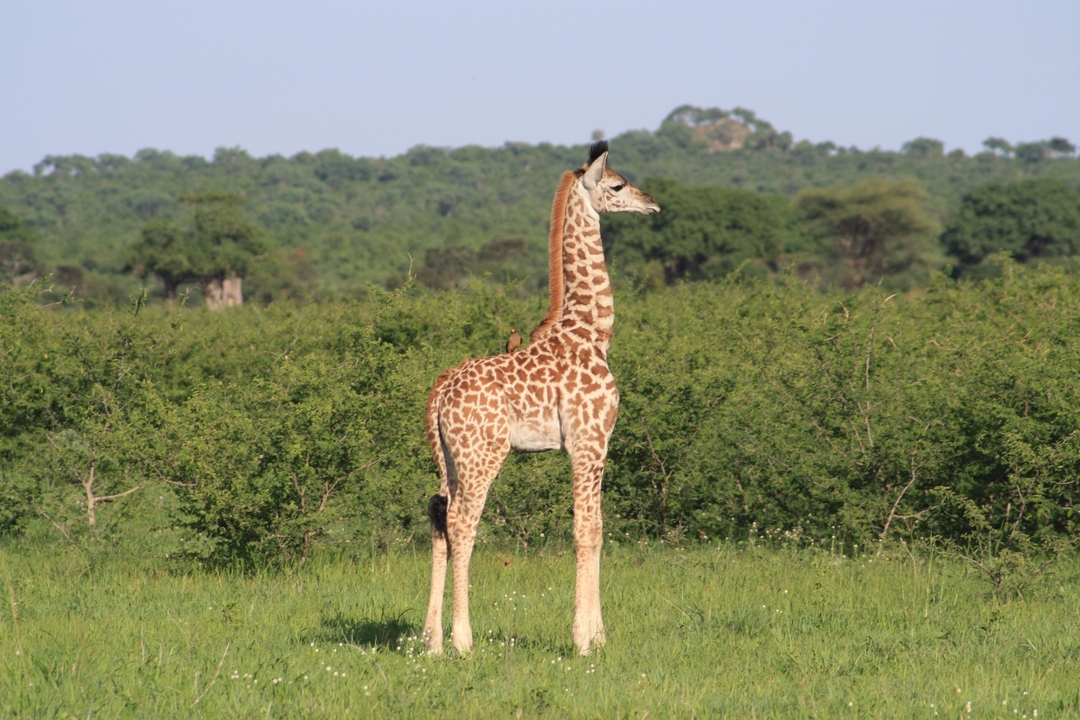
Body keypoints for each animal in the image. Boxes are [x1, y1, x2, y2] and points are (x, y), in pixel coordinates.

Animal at [421, 141, 659, 656]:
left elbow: (598, 528)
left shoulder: (593, 446)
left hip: (449, 457)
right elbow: (586, 530)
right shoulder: (590, 443)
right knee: (463, 523)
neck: (593, 333)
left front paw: (599, 635)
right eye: (616, 185)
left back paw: (431, 640)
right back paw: (463, 641)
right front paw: (585, 640)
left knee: (438, 515)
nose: (652, 203)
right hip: (484, 453)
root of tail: (440, 391)